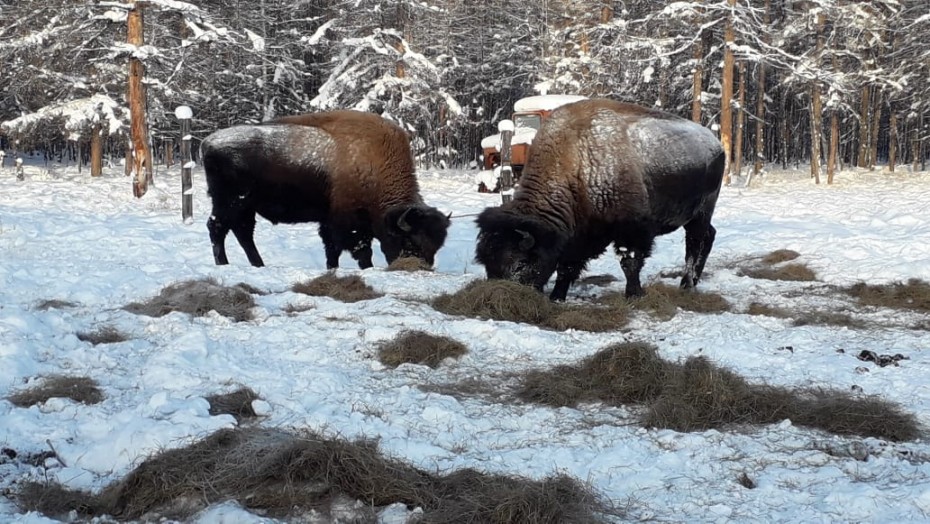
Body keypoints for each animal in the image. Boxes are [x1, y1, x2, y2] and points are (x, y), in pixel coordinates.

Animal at [201, 108, 452, 268]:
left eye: (436, 248)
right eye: (410, 242)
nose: (422, 268)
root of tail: (208, 142)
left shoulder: (330, 222)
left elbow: (332, 250)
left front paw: (332, 269)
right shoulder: (348, 224)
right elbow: (361, 251)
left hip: (245, 207)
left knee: (242, 233)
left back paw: (258, 265)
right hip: (231, 202)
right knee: (218, 228)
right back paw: (224, 264)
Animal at [472, 97, 724, 298]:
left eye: (521, 262)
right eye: (486, 262)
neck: (575, 165)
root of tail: (716, 144)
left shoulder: (632, 231)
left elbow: (629, 262)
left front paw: (634, 294)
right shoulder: (579, 234)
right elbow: (567, 266)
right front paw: (557, 296)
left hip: (701, 212)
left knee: (695, 243)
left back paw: (687, 284)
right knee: (709, 236)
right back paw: (692, 281)